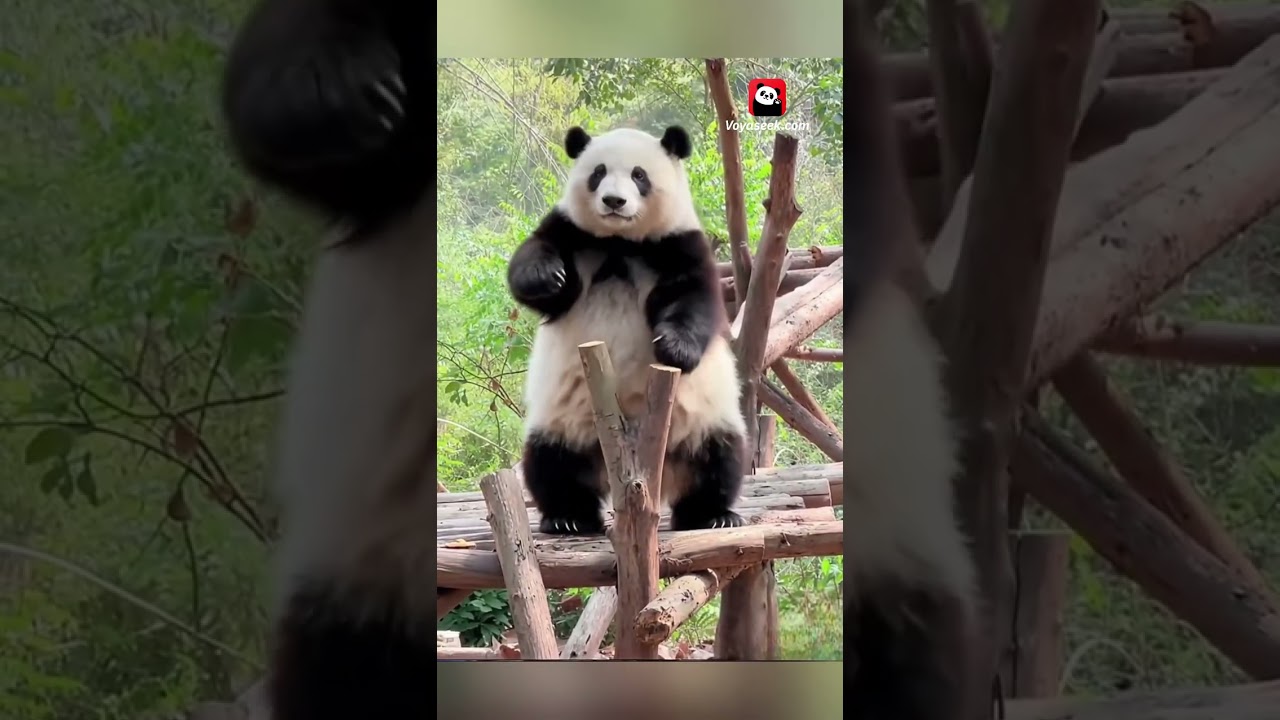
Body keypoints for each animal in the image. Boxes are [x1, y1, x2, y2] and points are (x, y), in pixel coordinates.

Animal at [507, 124, 750, 535]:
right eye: (598, 172)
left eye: (639, 175)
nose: (614, 201)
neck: (621, 242)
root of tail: (647, 477)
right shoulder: (572, 232)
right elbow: (535, 258)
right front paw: (545, 276)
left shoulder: (678, 243)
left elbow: (693, 298)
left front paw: (674, 348)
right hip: (564, 425)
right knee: (550, 463)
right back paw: (568, 517)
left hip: (704, 422)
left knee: (720, 459)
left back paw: (712, 515)